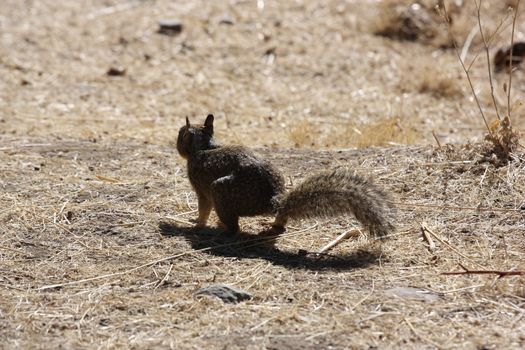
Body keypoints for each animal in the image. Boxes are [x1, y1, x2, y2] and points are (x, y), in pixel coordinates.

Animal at [176, 115, 392, 243]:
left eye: (180, 134)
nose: (177, 144)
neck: (205, 146)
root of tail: (273, 200)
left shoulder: (200, 187)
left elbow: (204, 208)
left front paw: (197, 224)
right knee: (280, 221)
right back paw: (273, 226)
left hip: (220, 189)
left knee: (234, 227)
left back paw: (223, 230)